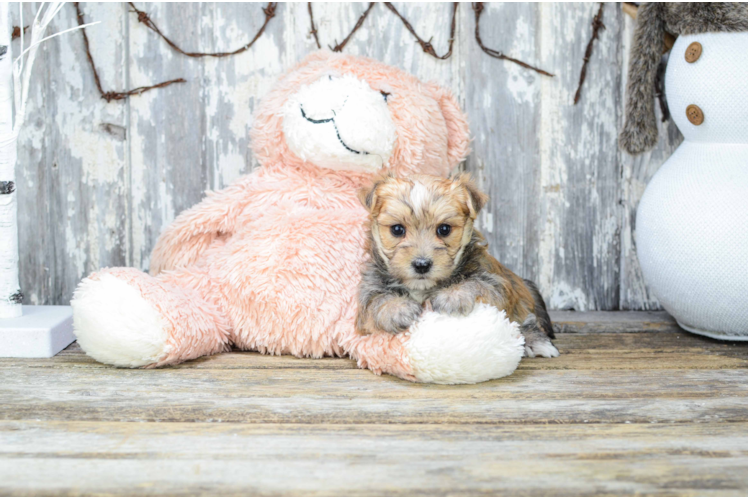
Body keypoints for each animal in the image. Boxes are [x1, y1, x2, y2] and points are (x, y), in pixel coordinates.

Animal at [358, 174, 560, 358]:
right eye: (397, 229)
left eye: (444, 229)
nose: (422, 264)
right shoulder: (367, 294)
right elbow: (375, 302)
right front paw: (396, 309)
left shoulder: (495, 282)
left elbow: (476, 284)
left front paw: (453, 295)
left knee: (526, 320)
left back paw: (536, 343)